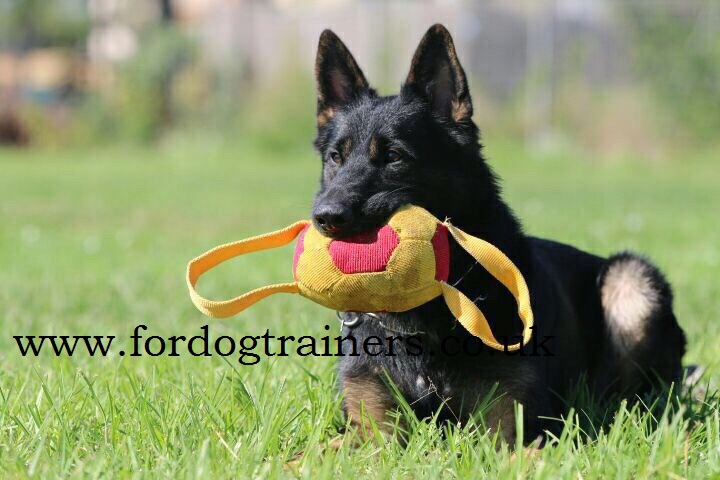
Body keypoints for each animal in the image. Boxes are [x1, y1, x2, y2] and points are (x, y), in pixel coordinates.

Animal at [310, 23, 688, 442]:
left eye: (393, 157)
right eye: (336, 157)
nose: (325, 216)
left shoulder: (510, 428)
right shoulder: (369, 432)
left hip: (629, 279)